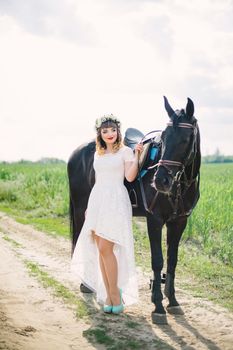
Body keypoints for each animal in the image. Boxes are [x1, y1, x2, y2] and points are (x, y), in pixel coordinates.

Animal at [67, 97, 200, 324]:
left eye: (185, 139)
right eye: (163, 139)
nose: (160, 181)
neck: (181, 184)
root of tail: (76, 153)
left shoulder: (179, 222)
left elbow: (172, 261)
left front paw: (173, 301)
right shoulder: (154, 220)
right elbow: (157, 261)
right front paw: (158, 306)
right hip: (80, 208)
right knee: (80, 240)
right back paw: (86, 285)